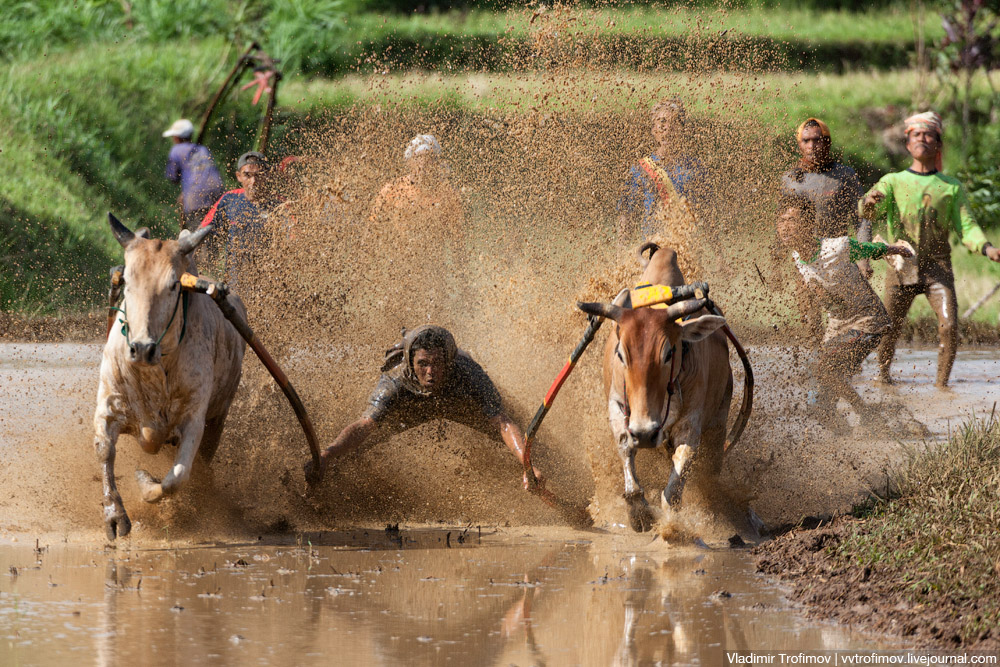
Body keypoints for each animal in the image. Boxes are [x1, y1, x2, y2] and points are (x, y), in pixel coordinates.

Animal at [92, 215, 246, 544]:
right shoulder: (109, 404)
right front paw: (115, 516)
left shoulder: (194, 420)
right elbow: (104, 450)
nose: (142, 348)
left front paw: (144, 482)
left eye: (174, 285)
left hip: (218, 418)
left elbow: (176, 479)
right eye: (127, 281)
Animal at [580, 245, 736, 532]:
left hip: (719, 419)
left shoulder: (691, 424)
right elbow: (625, 445)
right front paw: (638, 512)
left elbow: (673, 490)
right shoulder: (617, 405)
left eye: (668, 353)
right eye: (621, 354)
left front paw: (671, 527)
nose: (645, 433)